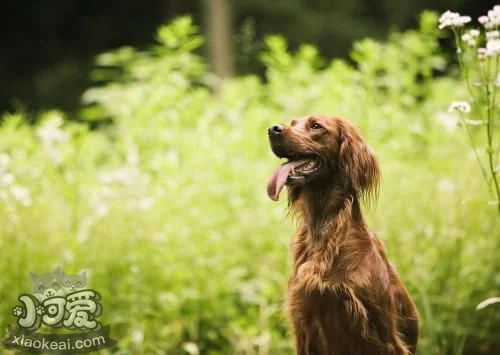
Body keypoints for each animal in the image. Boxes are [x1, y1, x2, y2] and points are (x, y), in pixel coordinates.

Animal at [266, 115, 418, 354]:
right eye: (292, 122)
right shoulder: (303, 324)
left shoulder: (384, 336)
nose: (273, 129)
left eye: (315, 126)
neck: (323, 230)